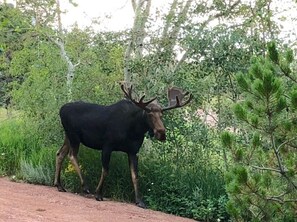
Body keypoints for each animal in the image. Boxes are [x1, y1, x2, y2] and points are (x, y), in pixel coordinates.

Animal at [53, 83, 192, 208]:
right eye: (149, 114)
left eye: (162, 115)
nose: (161, 133)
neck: (134, 130)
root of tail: (60, 109)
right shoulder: (107, 145)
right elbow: (105, 170)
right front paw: (98, 194)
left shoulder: (133, 151)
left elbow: (135, 175)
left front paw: (139, 201)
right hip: (74, 136)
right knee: (72, 155)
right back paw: (85, 187)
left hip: (68, 136)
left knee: (60, 154)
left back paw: (59, 185)